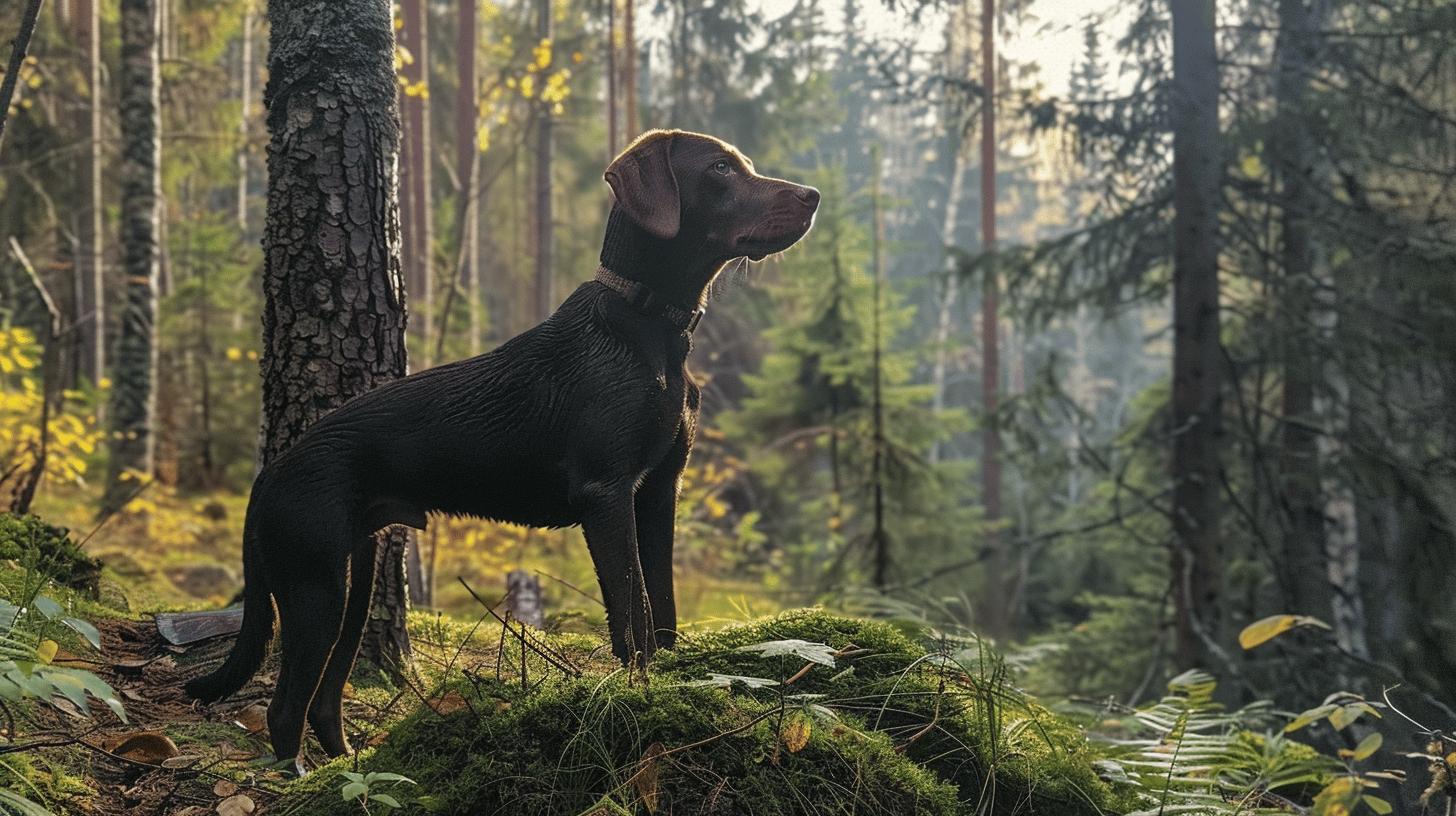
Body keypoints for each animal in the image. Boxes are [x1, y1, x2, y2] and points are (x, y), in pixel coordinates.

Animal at [184, 130, 821, 769]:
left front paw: (667, 683)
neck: (647, 327)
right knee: (284, 708)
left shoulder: (660, 492)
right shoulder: (607, 496)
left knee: (322, 701)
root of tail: (268, 474)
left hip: (352, 581)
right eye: (720, 169)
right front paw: (638, 696)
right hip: (313, 588)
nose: (814, 195)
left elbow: (662, 610)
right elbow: (632, 616)